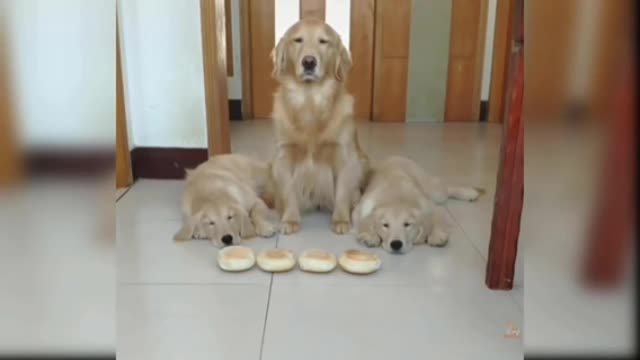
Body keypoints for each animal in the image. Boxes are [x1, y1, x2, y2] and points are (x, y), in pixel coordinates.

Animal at [272, 19, 370, 235]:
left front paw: (341, 220)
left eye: (323, 41)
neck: (310, 101)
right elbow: (289, 191)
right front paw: (290, 219)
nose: (309, 62)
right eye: (297, 40)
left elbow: (342, 191)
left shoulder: (345, 156)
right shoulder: (284, 156)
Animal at [352, 156, 482, 255]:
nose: (396, 244)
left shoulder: (429, 206)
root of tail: (392, 157)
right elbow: (361, 221)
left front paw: (437, 236)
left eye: (407, 224)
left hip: (431, 188)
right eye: (385, 225)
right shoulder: (359, 209)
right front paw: (369, 235)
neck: (397, 197)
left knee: (445, 188)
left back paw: (469, 193)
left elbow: (437, 219)